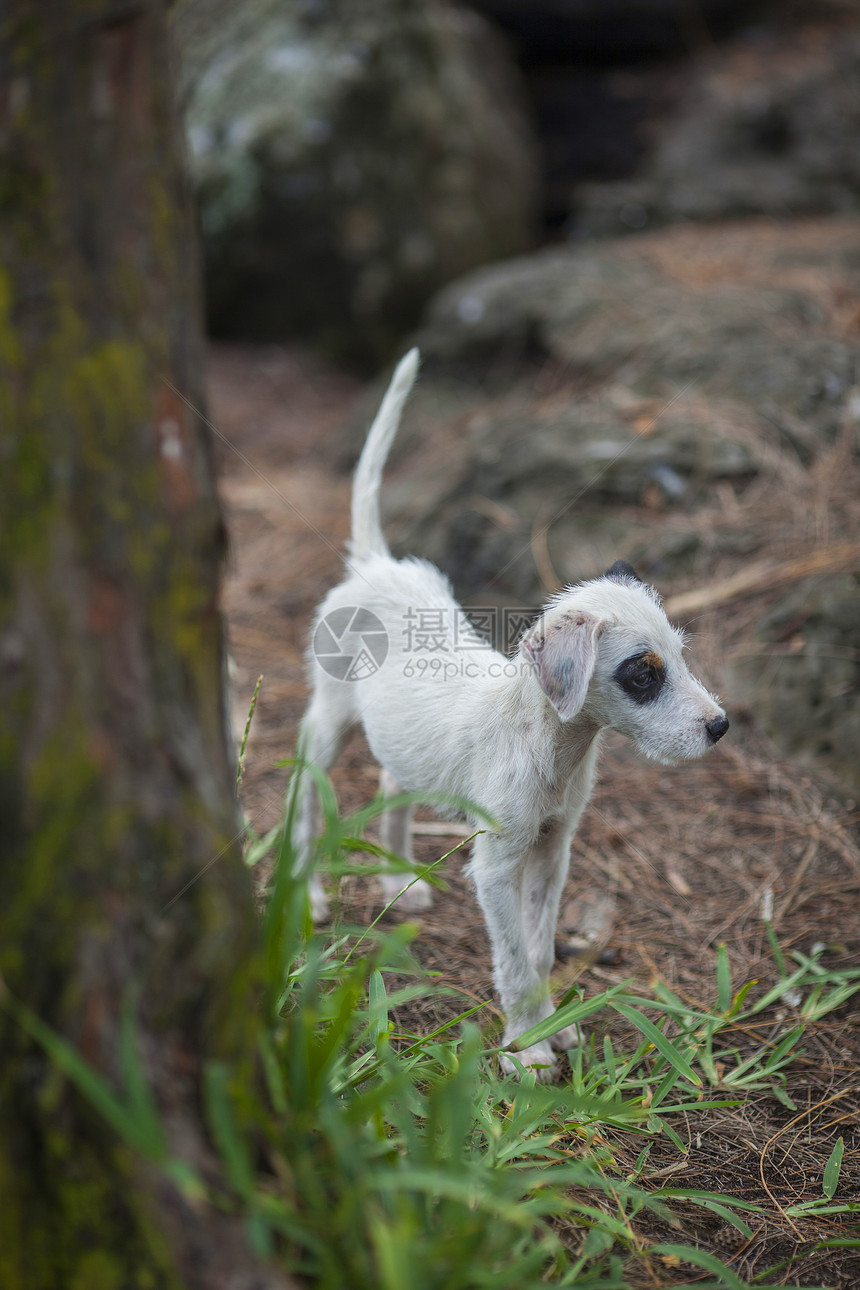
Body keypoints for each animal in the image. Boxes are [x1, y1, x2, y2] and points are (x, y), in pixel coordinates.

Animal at [293, 350, 727, 1078]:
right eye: (643, 674)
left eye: (679, 656)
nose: (720, 726)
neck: (545, 741)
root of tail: (376, 564)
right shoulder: (496, 868)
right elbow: (517, 960)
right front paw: (527, 1050)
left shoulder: (553, 853)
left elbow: (543, 946)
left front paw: (555, 1025)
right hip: (328, 718)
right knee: (305, 786)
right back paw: (308, 892)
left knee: (389, 782)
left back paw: (399, 878)